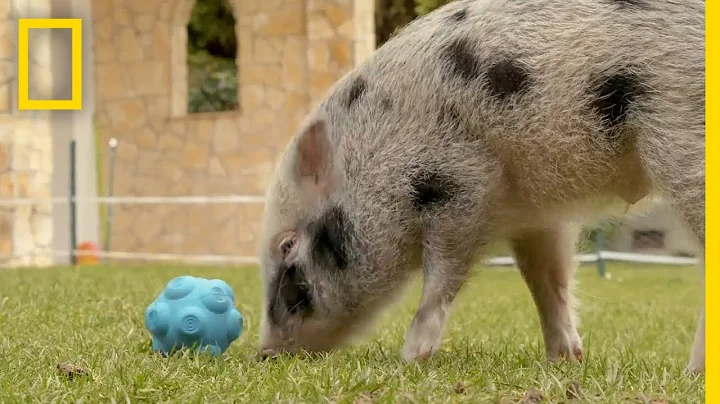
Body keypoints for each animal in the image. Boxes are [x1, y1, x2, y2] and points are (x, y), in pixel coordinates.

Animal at [257, 0, 705, 373]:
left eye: (286, 245)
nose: (263, 354)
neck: (375, 159)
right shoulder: (533, 210)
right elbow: (546, 277)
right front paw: (566, 360)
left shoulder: (462, 185)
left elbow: (444, 273)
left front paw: (409, 359)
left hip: (683, 144)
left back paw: (691, 373)